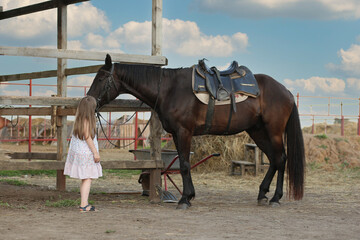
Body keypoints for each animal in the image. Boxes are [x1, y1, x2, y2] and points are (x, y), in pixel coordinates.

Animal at [87, 53, 304, 209]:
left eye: (101, 78)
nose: (89, 101)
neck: (169, 89)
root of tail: (285, 91)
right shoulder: (177, 134)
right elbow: (184, 163)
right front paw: (189, 195)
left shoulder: (184, 132)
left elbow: (184, 164)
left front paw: (185, 199)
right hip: (257, 131)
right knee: (274, 160)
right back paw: (262, 194)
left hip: (273, 131)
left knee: (280, 159)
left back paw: (275, 198)